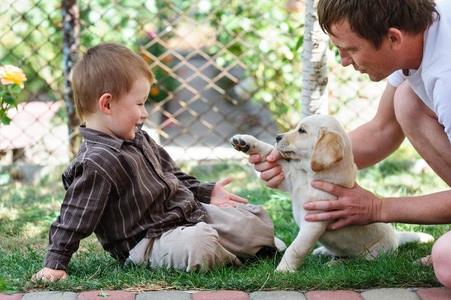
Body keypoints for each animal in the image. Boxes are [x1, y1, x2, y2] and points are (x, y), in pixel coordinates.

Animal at [231, 114, 436, 272]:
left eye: (302, 131)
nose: (277, 136)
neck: (310, 176)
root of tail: (395, 236)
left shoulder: (314, 222)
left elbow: (296, 248)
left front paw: (283, 271)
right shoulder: (289, 176)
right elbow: (267, 151)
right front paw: (245, 142)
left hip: (375, 253)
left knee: (359, 261)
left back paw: (336, 264)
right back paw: (322, 251)